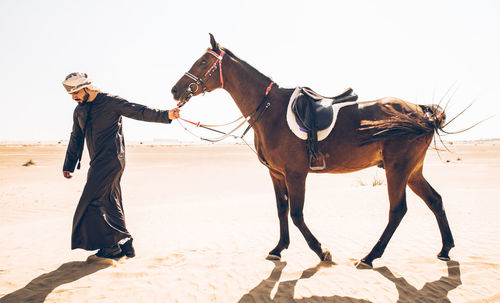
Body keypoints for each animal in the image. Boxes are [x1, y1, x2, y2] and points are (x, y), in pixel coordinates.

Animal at [170, 34, 456, 270]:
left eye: (203, 61)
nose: (175, 89)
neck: (270, 110)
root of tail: (420, 110)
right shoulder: (277, 174)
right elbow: (281, 210)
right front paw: (279, 248)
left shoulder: (296, 174)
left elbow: (296, 214)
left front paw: (322, 251)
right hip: (412, 171)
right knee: (435, 200)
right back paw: (445, 248)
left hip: (397, 170)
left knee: (397, 210)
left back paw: (370, 256)